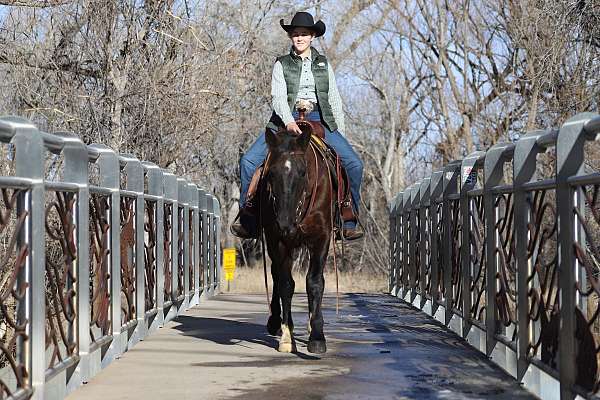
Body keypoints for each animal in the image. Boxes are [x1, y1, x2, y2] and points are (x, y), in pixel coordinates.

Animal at [260, 125, 336, 354]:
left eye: (303, 172)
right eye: (271, 173)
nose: (285, 223)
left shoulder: (322, 237)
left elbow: (315, 282)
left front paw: (317, 336)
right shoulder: (277, 240)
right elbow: (286, 284)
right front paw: (287, 337)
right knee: (276, 276)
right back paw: (275, 321)